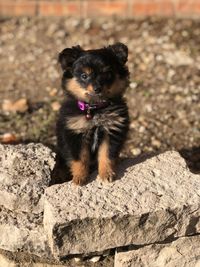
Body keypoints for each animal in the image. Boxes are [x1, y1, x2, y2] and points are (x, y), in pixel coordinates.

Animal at [56, 43, 130, 186]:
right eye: (84, 76)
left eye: (108, 74)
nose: (97, 88)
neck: (95, 109)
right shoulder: (75, 134)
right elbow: (80, 158)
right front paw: (79, 177)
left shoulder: (111, 130)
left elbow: (106, 154)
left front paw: (106, 174)